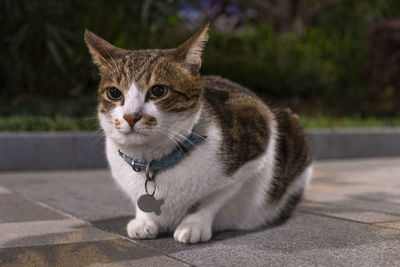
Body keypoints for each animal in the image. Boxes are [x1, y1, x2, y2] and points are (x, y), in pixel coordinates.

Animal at [85, 24, 312, 244]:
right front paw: (144, 220)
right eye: (114, 92)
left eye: (158, 90)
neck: (152, 161)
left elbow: (211, 199)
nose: (131, 116)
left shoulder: (256, 148)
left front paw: (193, 225)